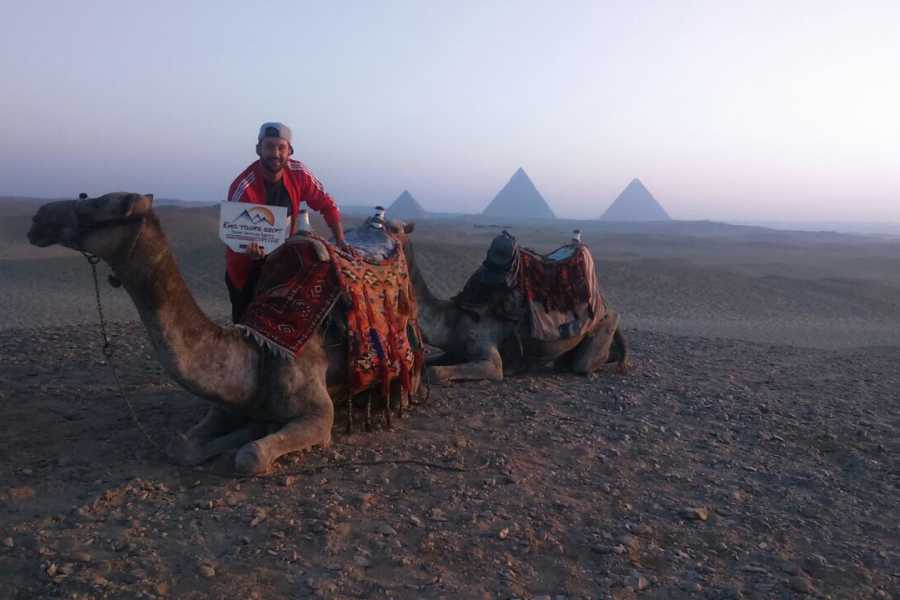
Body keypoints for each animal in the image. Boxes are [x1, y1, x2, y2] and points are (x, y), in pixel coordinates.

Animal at [27, 192, 418, 475]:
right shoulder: (226, 404)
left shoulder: (319, 415)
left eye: (95, 206)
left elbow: (250, 458)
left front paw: (249, 440)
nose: (38, 218)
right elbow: (181, 446)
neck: (260, 354)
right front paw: (243, 432)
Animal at [404, 233, 628, 384]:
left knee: (583, 363)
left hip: (600, 324)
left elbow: (435, 372)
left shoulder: (490, 359)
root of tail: (603, 304)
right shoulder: (454, 350)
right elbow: (429, 362)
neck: (453, 319)